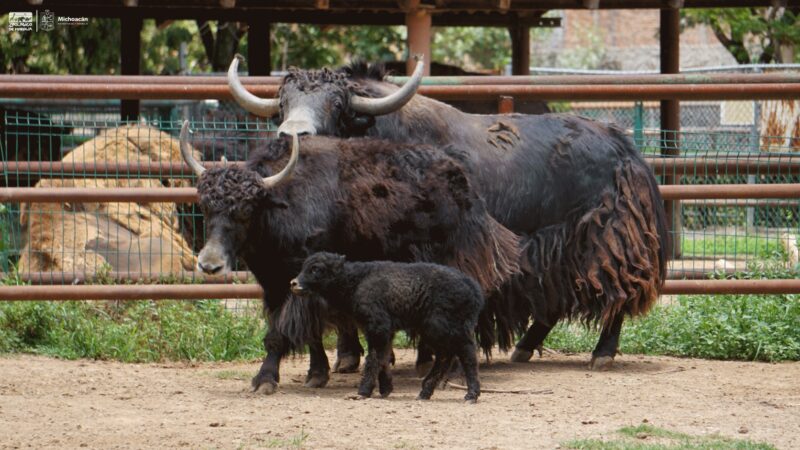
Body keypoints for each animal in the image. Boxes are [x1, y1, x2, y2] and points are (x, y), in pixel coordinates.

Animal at [290, 251, 484, 402]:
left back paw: (471, 395)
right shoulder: (383, 330)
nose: (293, 283)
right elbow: (382, 357)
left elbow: (374, 358)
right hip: (436, 330)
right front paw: (385, 389)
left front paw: (363, 392)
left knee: (466, 354)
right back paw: (425, 392)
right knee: (446, 356)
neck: (356, 281)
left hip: (447, 328)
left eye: (316, 268)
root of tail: (473, 288)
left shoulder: (378, 326)